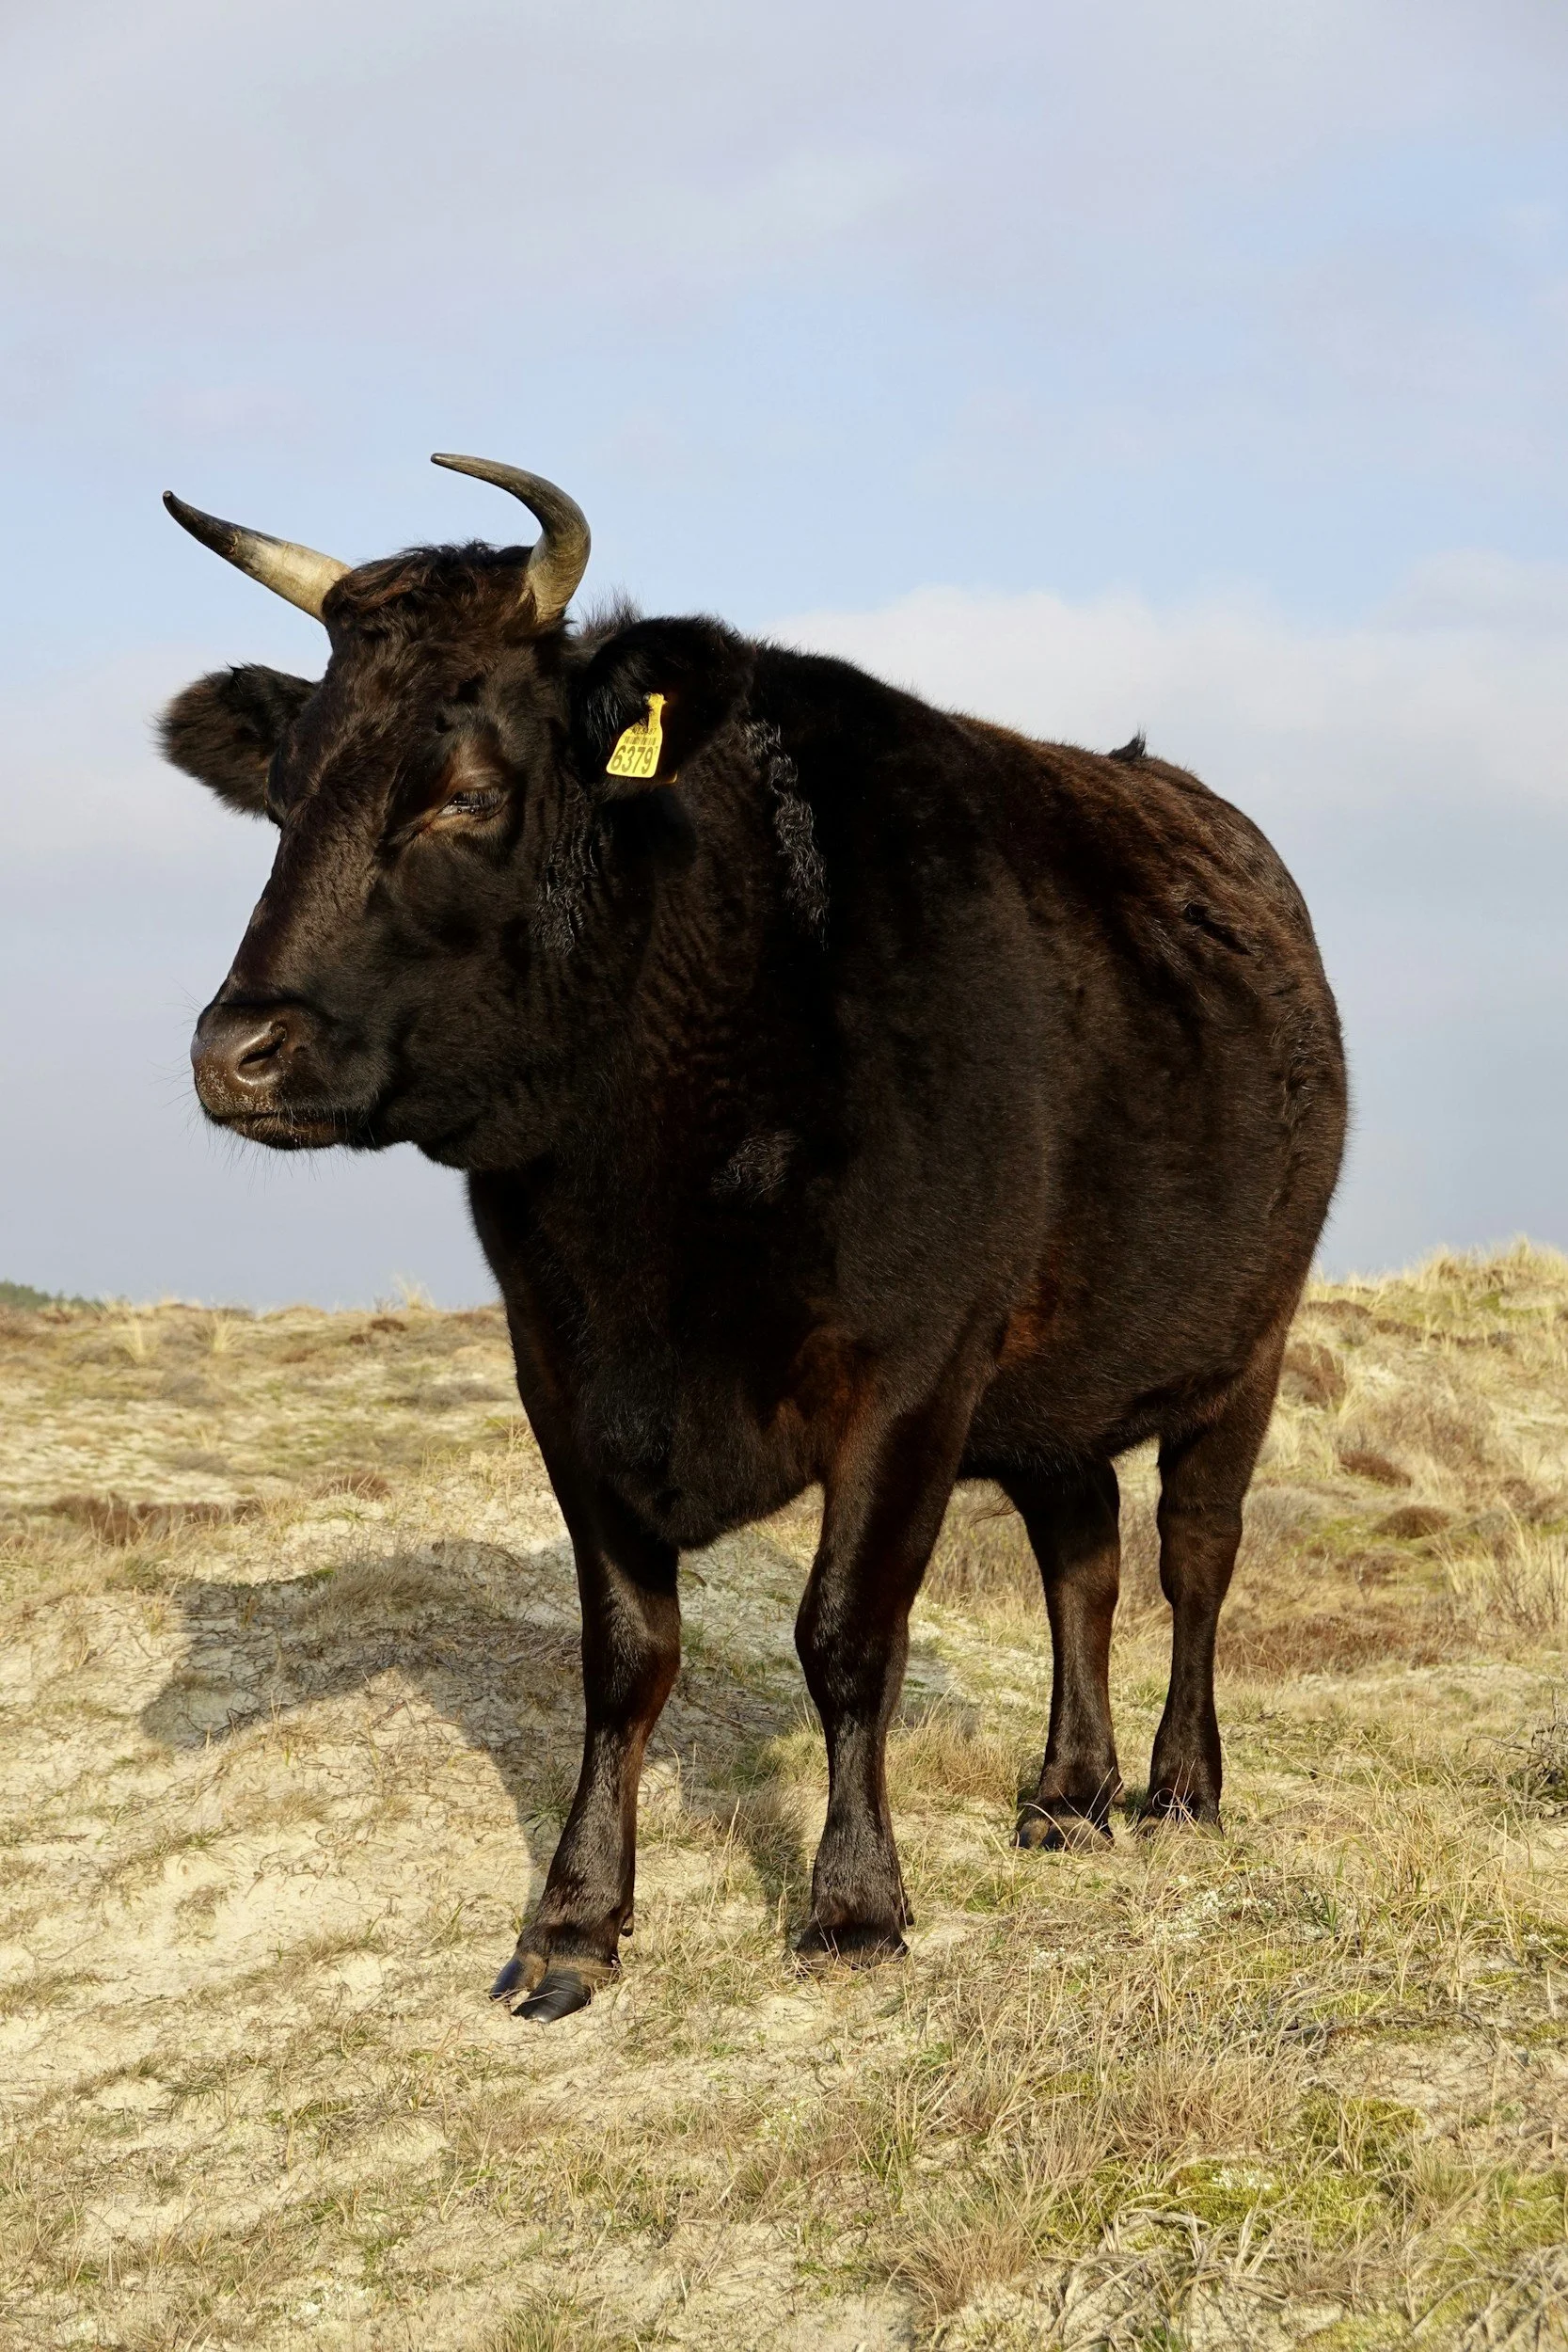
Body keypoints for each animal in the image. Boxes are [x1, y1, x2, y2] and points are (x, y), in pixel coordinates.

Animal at [159, 454, 1346, 2021]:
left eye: (467, 795)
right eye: (282, 797)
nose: (234, 1052)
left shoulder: (910, 1371)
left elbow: (843, 1634)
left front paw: (851, 1905)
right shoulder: (561, 1372)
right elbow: (624, 1653)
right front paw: (573, 1922)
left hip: (1243, 1345)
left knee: (1189, 1555)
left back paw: (1176, 1787)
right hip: (1050, 1376)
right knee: (1079, 1553)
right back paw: (1063, 1791)